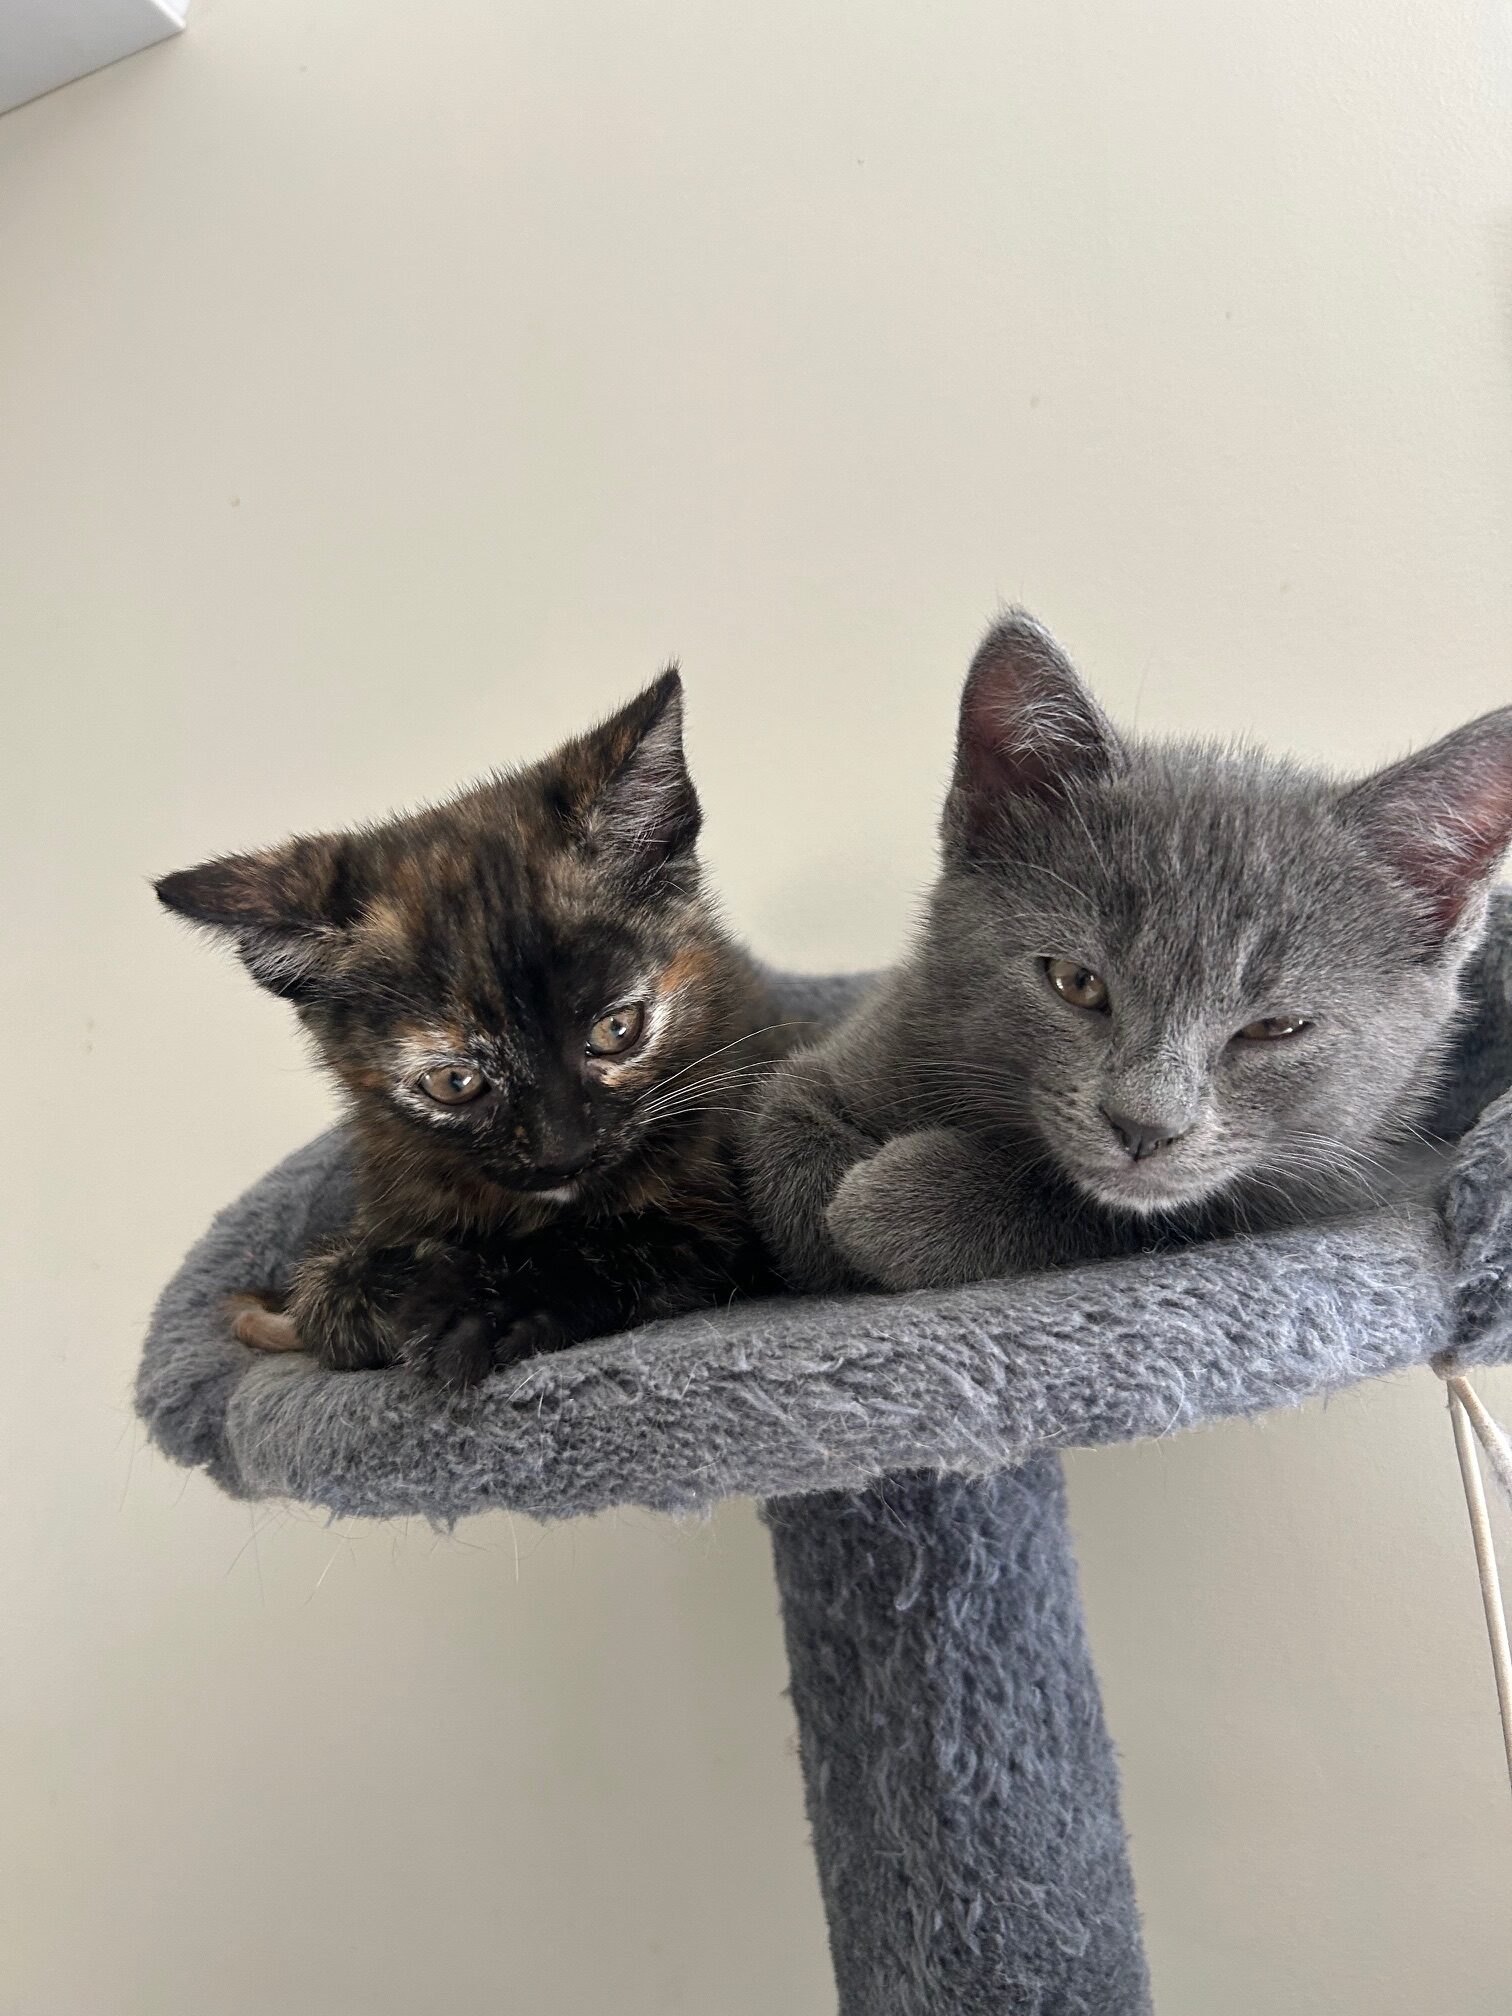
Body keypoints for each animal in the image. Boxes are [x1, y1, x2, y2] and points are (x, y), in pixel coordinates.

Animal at [157, 670, 793, 1388]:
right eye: (454, 1082)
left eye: (617, 1029)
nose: (565, 1153)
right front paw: (361, 1287)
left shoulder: (726, 1206)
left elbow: (642, 1239)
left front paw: (489, 1305)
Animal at [744, 612, 1512, 1297]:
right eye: (1075, 981)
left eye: (1275, 1028)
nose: (1145, 1127)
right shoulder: (862, 1042)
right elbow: (783, 1128)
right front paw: (833, 1223)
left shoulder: (1318, 1191)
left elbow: (1147, 1218)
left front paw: (897, 1203)